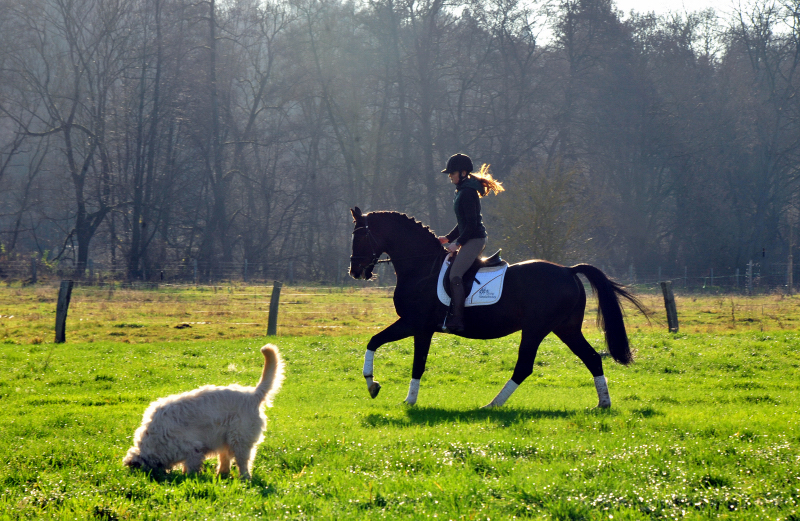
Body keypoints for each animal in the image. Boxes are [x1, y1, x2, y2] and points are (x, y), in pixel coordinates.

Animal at [122, 344, 284, 478]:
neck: (154, 439)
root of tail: (253, 394)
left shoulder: (193, 449)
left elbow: (191, 467)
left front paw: (190, 478)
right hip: (225, 440)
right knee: (225, 460)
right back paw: (221, 475)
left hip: (239, 440)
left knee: (243, 462)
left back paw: (244, 478)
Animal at [350, 206, 648, 406]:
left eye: (359, 237)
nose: (355, 271)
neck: (421, 267)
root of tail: (568, 270)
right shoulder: (411, 324)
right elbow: (373, 341)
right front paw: (372, 385)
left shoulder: (419, 326)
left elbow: (416, 363)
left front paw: (408, 400)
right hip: (566, 328)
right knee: (592, 358)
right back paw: (603, 403)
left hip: (536, 329)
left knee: (525, 366)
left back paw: (492, 404)